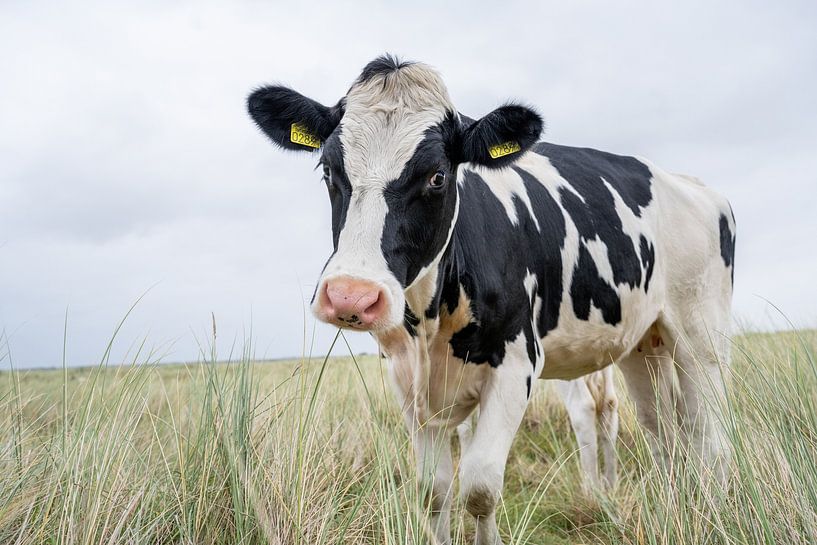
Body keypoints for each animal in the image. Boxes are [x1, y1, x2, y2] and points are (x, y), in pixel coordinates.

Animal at [247, 55, 735, 545]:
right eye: (328, 171)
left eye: (437, 176)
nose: (351, 295)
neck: (431, 323)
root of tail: (693, 186)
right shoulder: (407, 379)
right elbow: (434, 491)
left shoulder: (517, 363)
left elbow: (479, 487)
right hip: (642, 342)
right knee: (662, 429)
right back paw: (673, 506)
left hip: (701, 335)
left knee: (707, 436)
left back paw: (710, 513)